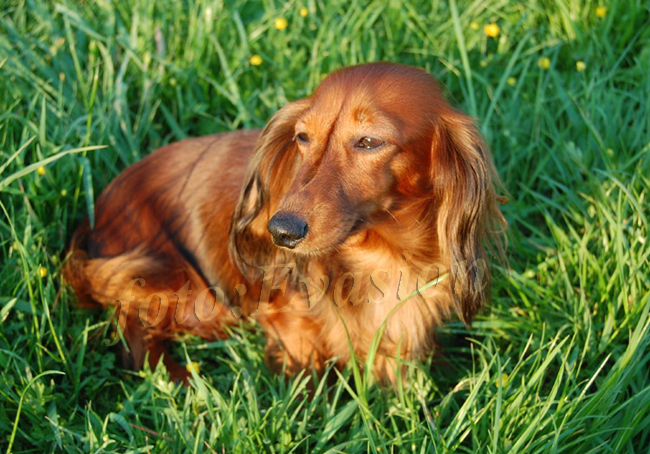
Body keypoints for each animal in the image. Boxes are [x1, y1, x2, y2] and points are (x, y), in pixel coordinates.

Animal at [64, 62, 506, 384]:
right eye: (302, 137)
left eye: (369, 141)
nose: (281, 231)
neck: (382, 253)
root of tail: (97, 212)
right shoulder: (291, 325)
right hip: (180, 288)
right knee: (132, 328)